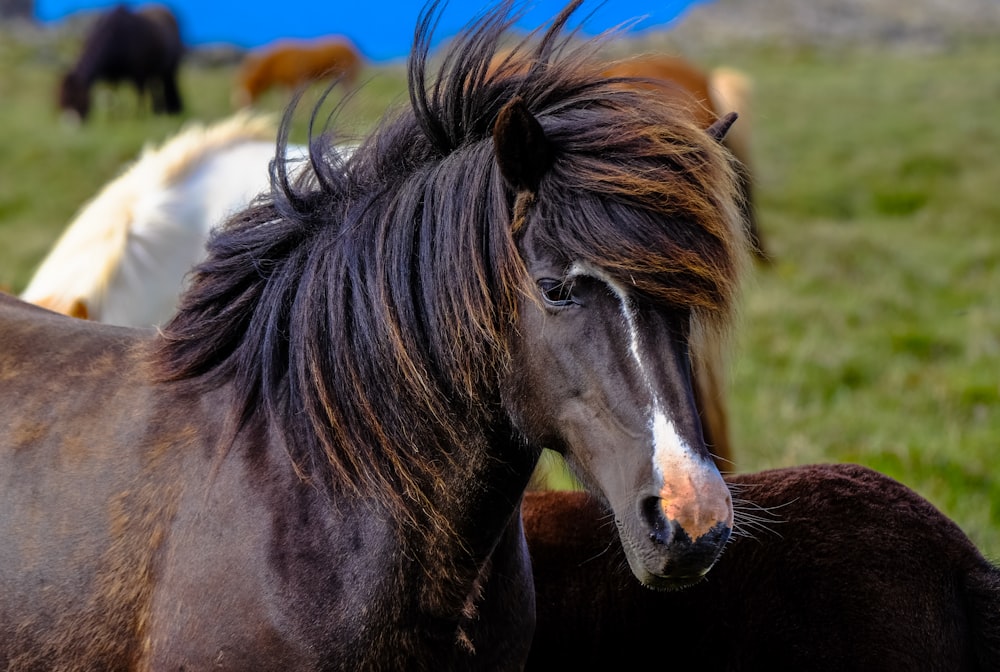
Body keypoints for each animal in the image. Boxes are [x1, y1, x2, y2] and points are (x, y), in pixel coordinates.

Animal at [232, 35, 362, 108]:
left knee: (352, 93)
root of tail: (351, 46)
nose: (243, 111)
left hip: (349, 76)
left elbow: (299, 99)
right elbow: (285, 99)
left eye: (246, 99)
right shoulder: (286, 83)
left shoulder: (298, 80)